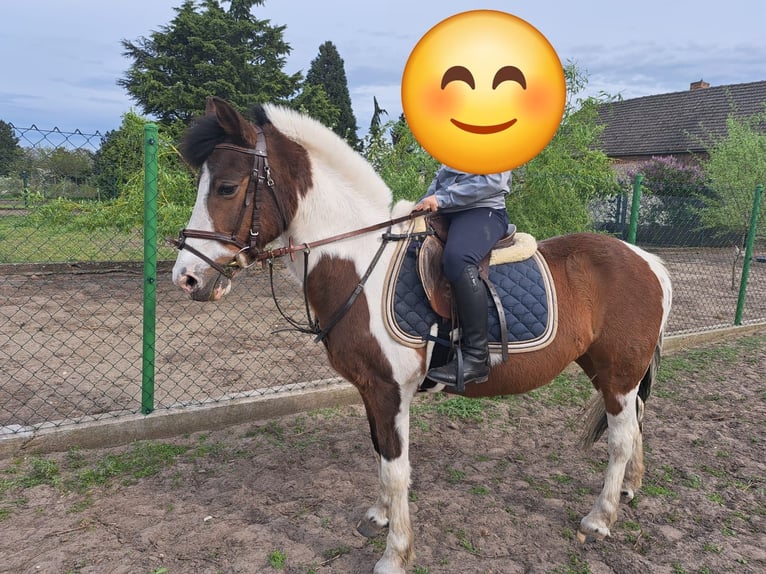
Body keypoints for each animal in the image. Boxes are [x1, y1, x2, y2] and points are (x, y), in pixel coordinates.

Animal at [172, 97, 672, 572]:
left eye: (226, 187)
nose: (187, 278)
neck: (360, 261)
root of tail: (646, 259)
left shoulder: (389, 389)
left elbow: (396, 468)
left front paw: (395, 555)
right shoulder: (371, 389)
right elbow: (380, 453)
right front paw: (378, 517)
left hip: (619, 372)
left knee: (621, 437)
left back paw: (600, 518)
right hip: (606, 371)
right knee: (635, 423)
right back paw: (629, 490)